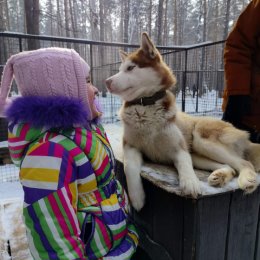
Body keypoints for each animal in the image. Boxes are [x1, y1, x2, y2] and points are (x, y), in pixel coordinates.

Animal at [105, 33, 260, 211]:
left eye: (130, 68)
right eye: (119, 70)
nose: (107, 82)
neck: (146, 105)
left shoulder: (180, 149)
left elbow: (184, 164)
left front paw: (190, 183)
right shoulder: (130, 146)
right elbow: (129, 167)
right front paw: (137, 197)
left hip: (202, 140)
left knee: (244, 163)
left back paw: (247, 180)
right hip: (198, 154)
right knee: (231, 167)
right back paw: (220, 176)